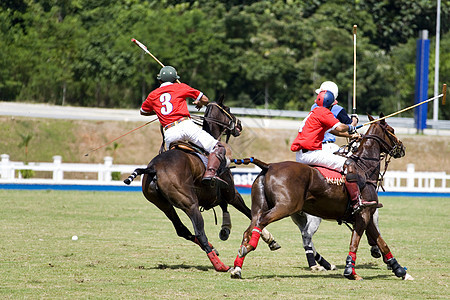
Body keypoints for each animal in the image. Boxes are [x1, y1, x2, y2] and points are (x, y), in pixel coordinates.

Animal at [123, 96, 278, 272]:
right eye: (228, 109)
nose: (239, 125)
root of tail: (153, 168)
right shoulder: (232, 194)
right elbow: (250, 213)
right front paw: (270, 239)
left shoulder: (214, 196)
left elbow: (226, 208)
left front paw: (225, 229)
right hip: (190, 203)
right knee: (199, 232)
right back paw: (220, 264)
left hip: (163, 204)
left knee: (182, 229)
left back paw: (213, 249)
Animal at [230, 113, 414, 280]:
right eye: (392, 130)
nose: (402, 147)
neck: (364, 167)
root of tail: (269, 166)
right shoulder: (363, 214)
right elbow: (355, 242)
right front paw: (351, 272)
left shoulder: (366, 215)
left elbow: (382, 243)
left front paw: (401, 271)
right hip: (286, 206)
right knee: (266, 224)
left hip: (260, 206)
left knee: (250, 228)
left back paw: (237, 267)